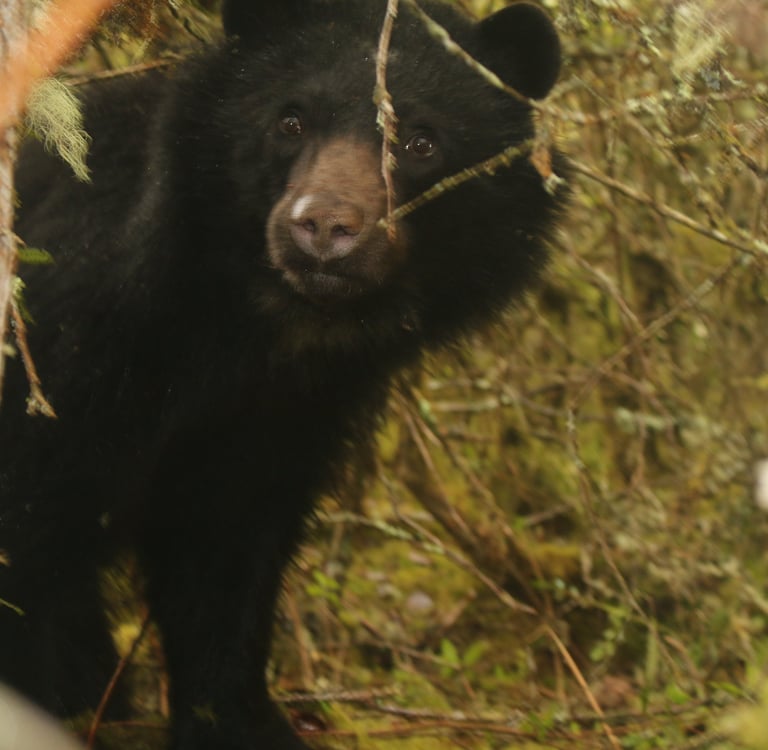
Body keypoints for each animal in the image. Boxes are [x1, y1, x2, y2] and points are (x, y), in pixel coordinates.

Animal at [0, 1, 565, 748]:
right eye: (291, 121)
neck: (251, 330)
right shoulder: (64, 348)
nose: (324, 227)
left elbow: (226, 559)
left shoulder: (282, 417)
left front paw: (237, 721)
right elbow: (24, 545)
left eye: (422, 142)